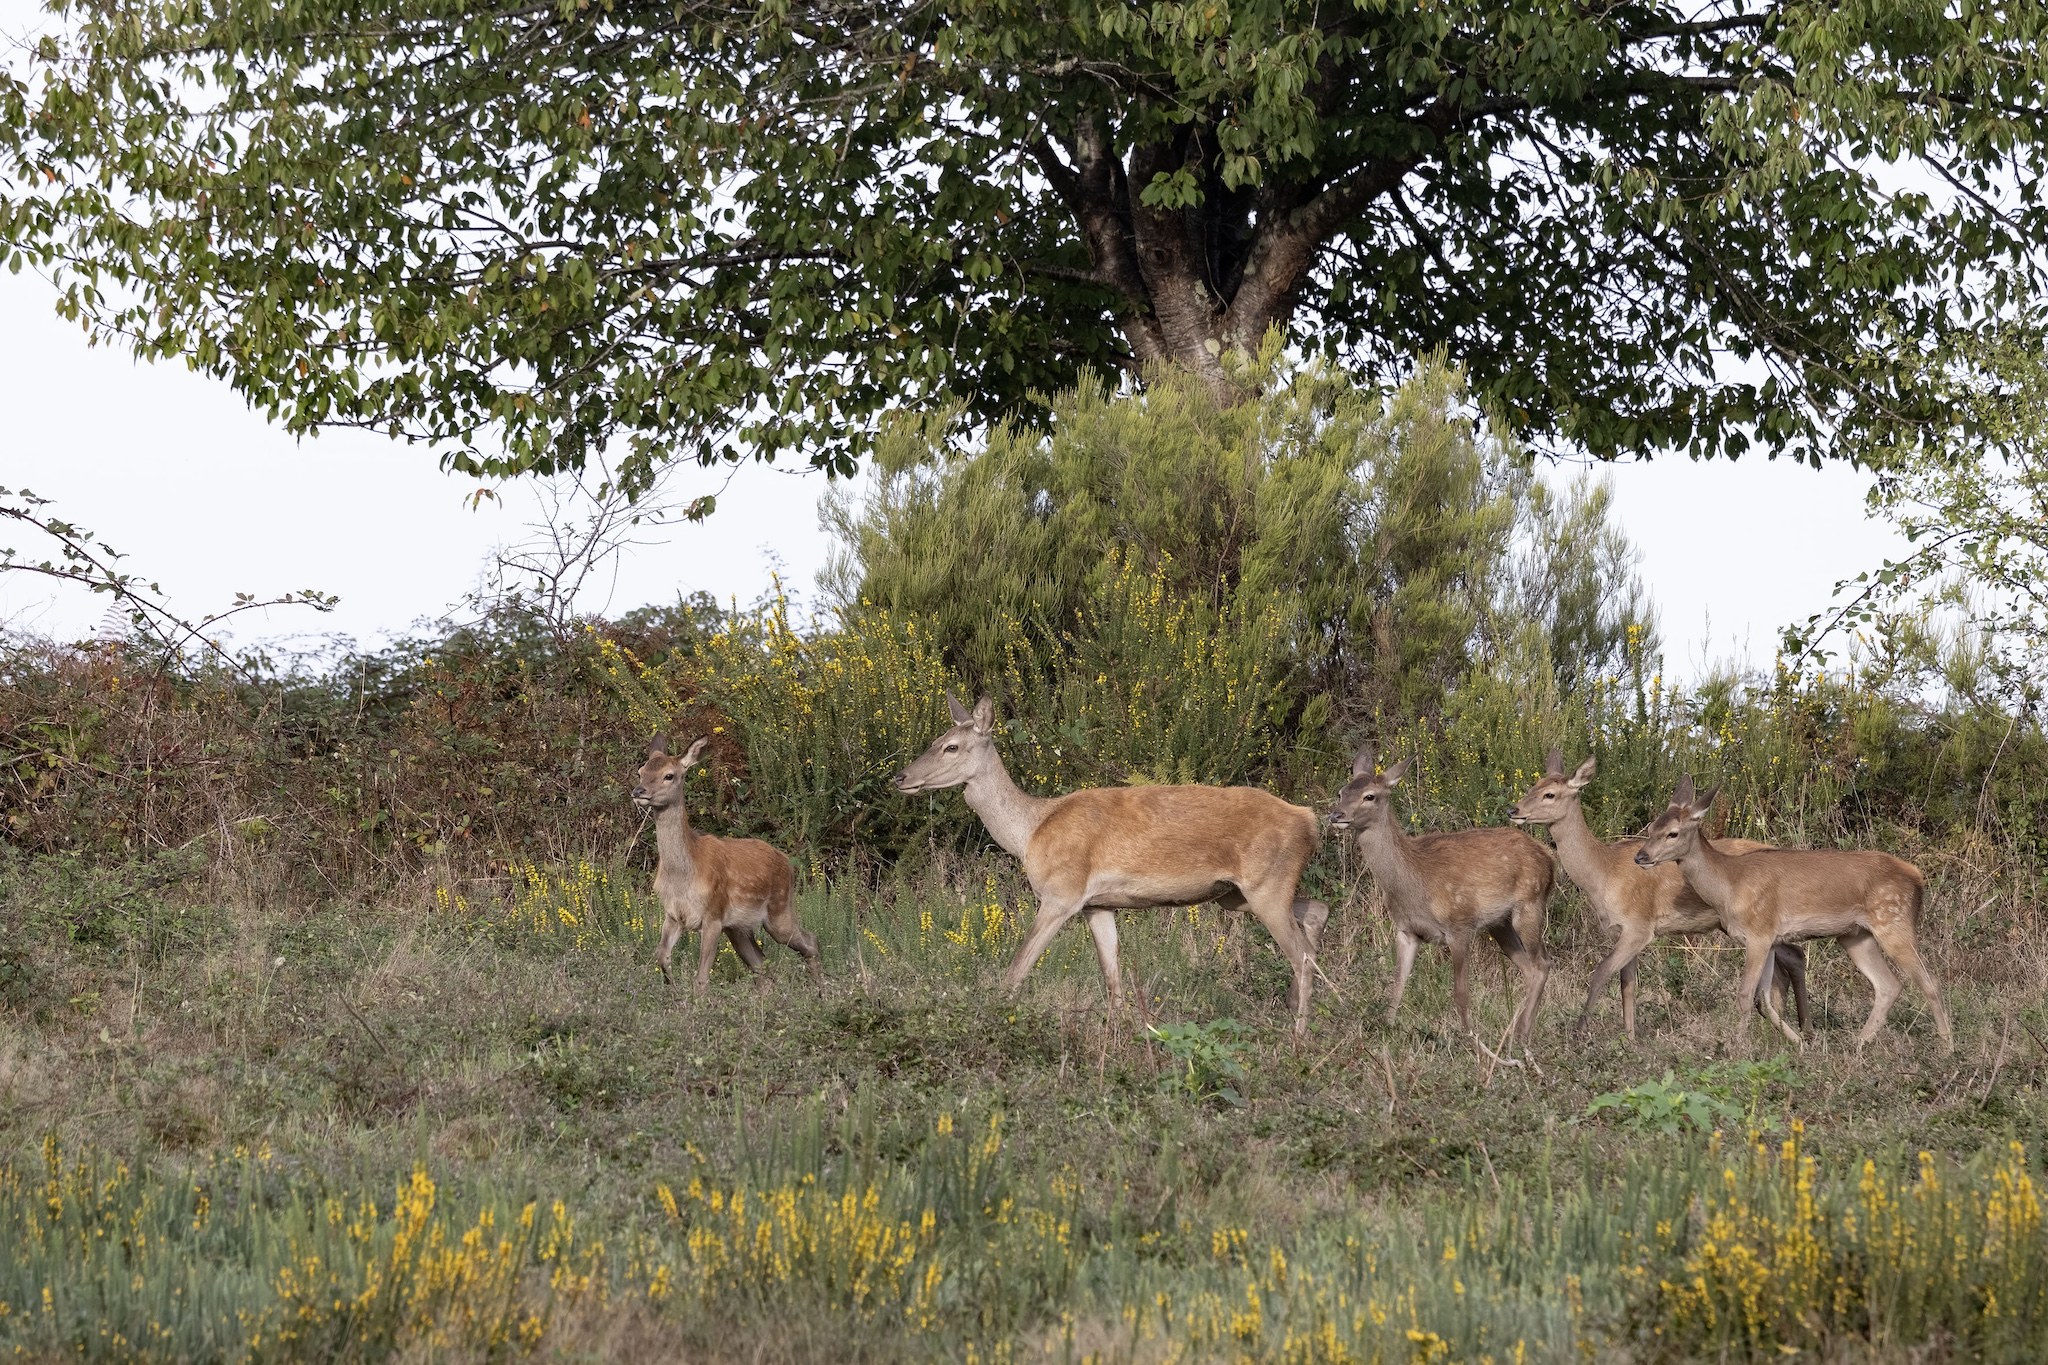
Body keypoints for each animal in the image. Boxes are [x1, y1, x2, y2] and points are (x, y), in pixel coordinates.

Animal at [632, 735, 825, 991]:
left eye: (669, 775)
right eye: (641, 771)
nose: (638, 791)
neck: (683, 875)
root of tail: (787, 862)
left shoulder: (713, 914)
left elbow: (701, 977)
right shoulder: (672, 914)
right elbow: (661, 956)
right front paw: (672, 990)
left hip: (780, 910)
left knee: (809, 941)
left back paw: (823, 991)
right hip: (738, 928)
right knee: (761, 964)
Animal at [894, 693, 1329, 1033]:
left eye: (951, 746)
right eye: (935, 739)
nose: (900, 777)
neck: (1030, 832)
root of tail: (1308, 820)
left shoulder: (1061, 894)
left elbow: (1016, 970)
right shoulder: (1098, 905)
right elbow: (1112, 979)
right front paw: (1118, 1034)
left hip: (1265, 884)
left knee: (1303, 956)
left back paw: (1298, 1037)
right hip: (1237, 894)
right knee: (1318, 913)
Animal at [1327, 745, 1553, 1047]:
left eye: (1370, 796)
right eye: (1341, 791)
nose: (1336, 815)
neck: (1415, 883)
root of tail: (1549, 858)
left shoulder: (1460, 926)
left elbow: (1461, 993)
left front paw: (1470, 1040)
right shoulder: (1407, 931)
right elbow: (1397, 985)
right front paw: (1387, 1029)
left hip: (1530, 904)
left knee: (1542, 964)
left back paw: (1522, 1036)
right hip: (1500, 923)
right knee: (1529, 969)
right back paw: (1517, 1033)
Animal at [1509, 750, 1807, 1038]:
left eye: (1550, 794)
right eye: (1533, 785)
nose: (1513, 809)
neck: (1603, 873)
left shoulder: (1638, 926)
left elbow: (1601, 973)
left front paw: (1579, 1035)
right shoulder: (1623, 930)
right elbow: (1628, 985)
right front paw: (1630, 1040)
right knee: (1792, 956)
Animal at [1635, 775, 1952, 1052]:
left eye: (1673, 833)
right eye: (1651, 828)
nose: (1641, 856)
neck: (1729, 884)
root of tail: (1917, 877)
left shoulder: (1759, 933)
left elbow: (1744, 994)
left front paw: (1735, 1047)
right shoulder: (1770, 938)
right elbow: (1763, 998)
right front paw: (1798, 1043)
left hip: (1894, 920)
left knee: (1930, 982)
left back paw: (1947, 1047)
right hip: (1856, 935)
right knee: (1888, 985)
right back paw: (1858, 1046)